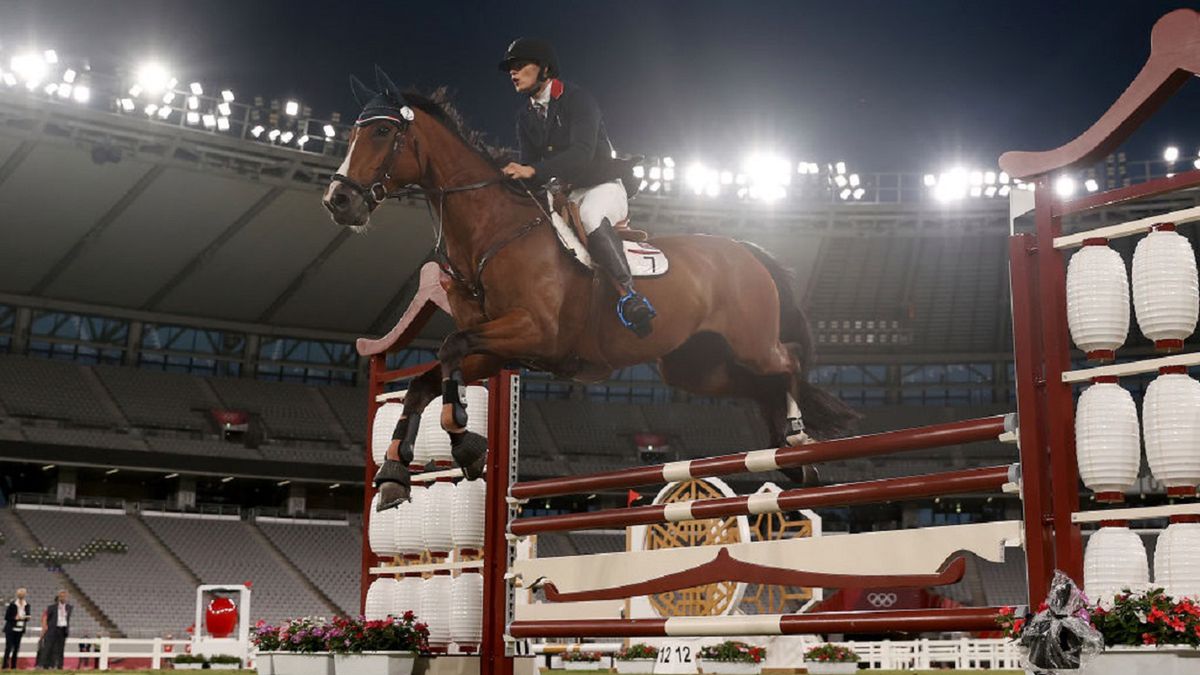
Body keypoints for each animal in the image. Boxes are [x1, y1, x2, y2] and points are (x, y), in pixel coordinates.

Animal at [324, 69, 859, 509]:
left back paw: (798, 441)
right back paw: (793, 458)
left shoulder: (534, 333)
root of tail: (746, 249)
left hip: (750, 343)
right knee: (761, 385)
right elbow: (423, 381)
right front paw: (395, 472)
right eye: (351, 132)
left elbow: (449, 350)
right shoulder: (498, 351)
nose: (338, 200)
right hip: (697, 367)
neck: (492, 232)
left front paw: (465, 441)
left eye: (382, 131)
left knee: (787, 363)